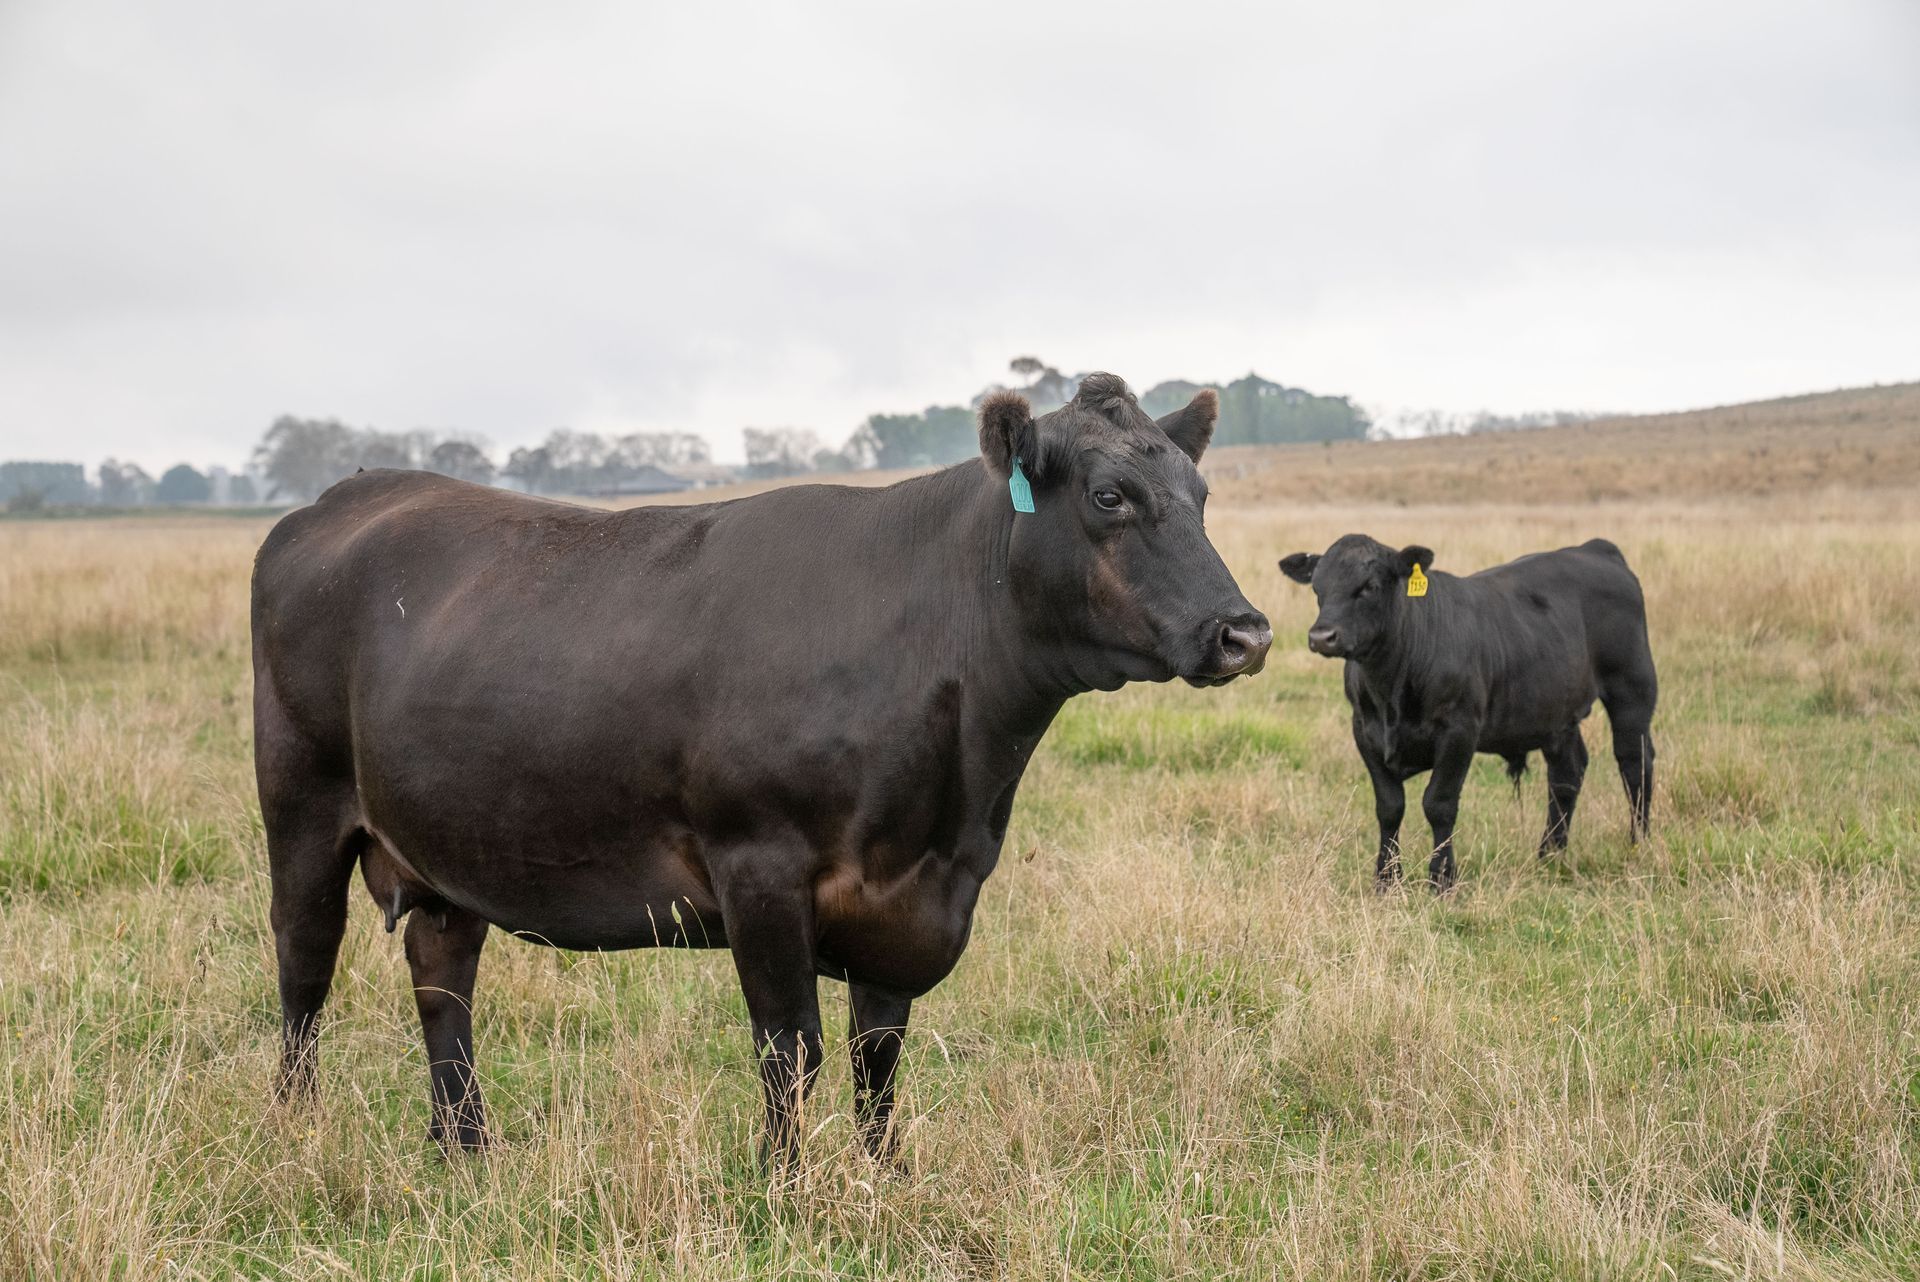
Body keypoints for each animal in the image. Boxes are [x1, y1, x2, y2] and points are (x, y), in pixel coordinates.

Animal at [252, 373, 1271, 1166]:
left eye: (1199, 494)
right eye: (1109, 496)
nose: (1246, 632)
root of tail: (345, 495)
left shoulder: (913, 896)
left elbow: (876, 1056)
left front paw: (880, 1180)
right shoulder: (761, 866)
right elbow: (792, 1051)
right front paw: (785, 1189)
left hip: (448, 837)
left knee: (441, 978)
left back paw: (466, 1146)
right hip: (300, 802)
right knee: (305, 966)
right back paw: (297, 1130)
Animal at [1278, 535, 1656, 889]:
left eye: (1368, 586)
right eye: (1318, 588)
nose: (1322, 636)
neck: (1391, 687)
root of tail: (1594, 548)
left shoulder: (1458, 732)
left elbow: (1438, 804)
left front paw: (1442, 880)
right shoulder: (1364, 732)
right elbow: (1389, 807)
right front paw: (1386, 880)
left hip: (1632, 691)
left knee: (1635, 763)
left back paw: (1638, 844)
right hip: (1557, 714)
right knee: (1566, 775)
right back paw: (1549, 855)